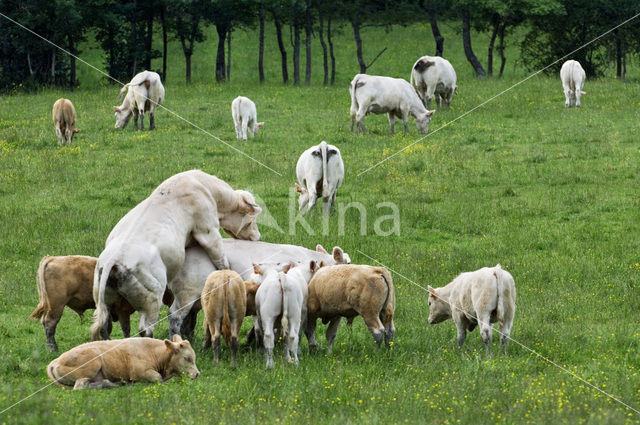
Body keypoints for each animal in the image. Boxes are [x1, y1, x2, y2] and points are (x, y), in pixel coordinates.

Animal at [28, 253, 175, 350]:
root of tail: (52, 258)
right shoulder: (122, 310)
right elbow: (124, 328)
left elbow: (106, 327)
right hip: (57, 306)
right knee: (50, 323)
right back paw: (53, 348)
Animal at [47, 332, 199, 390]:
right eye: (187, 358)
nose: (197, 374)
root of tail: (55, 361)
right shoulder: (141, 373)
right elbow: (157, 378)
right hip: (92, 365)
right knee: (80, 386)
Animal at [91, 168, 262, 338]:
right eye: (251, 220)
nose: (258, 237)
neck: (203, 186)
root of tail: (114, 259)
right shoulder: (208, 230)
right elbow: (220, 259)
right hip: (151, 299)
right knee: (146, 328)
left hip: (105, 300)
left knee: (103, 327)